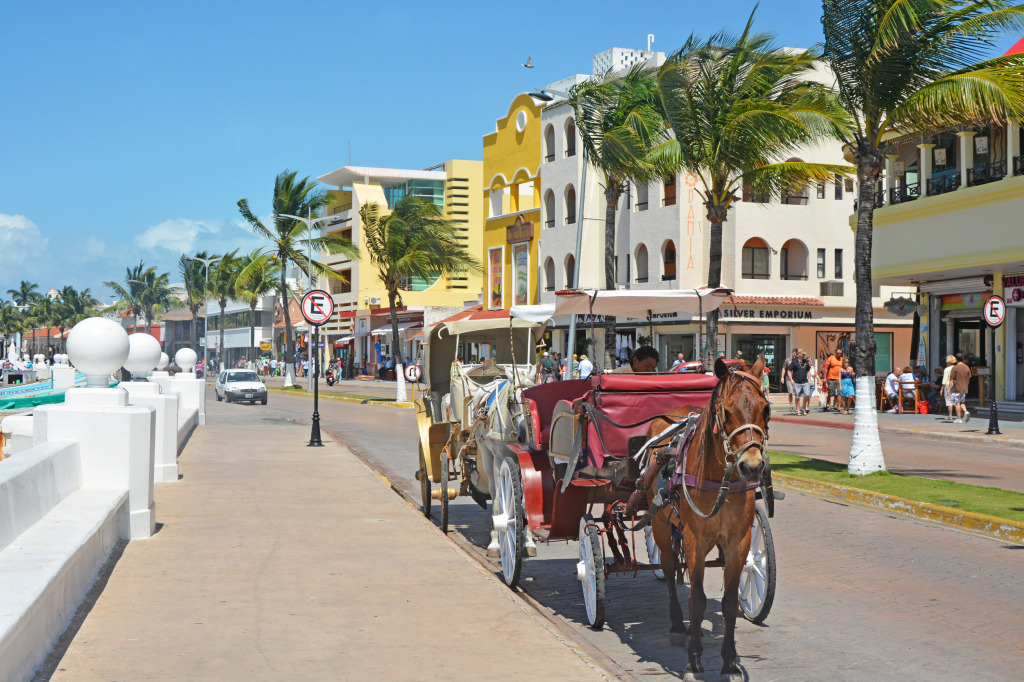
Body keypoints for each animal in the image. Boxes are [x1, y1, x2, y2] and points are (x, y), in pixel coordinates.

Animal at [647, 356, 770, 679]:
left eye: (765, 408)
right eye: (726, 412)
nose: (752, 466)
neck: (718, 478)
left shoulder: (738, 542)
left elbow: (728, 604)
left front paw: (729, 663)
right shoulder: (695, 540)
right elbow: (697, 601)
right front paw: (694, 662)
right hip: (661, 527)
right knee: (668, 568)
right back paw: (679, 626)